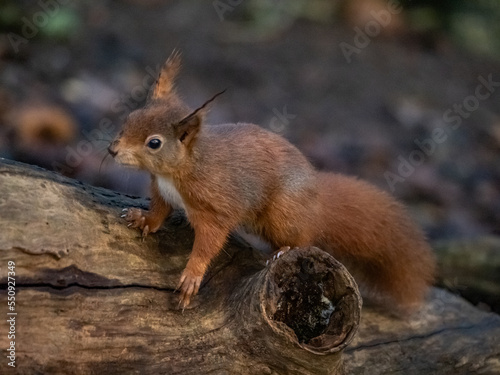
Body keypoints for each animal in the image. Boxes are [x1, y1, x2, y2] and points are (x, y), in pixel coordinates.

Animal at [108, 53, 434, 312]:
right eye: (130, 118)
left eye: (154, 143)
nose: (112, 150)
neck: (179, 170)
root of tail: (317, 201)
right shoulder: (161, 191)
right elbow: (160, 211)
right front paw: (143, 219)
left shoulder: (215, 207)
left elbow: (210, 242)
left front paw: (192, 276)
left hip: (282, 214)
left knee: (305, 238)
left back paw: (283, 250)